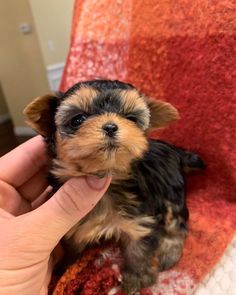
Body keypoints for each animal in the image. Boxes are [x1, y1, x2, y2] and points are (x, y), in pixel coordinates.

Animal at [24, 80, 205, 294]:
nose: (110, 126)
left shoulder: (140, 219)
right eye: (78, 119)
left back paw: (169, 251)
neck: (109, 179)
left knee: (176, 222)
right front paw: (64, 270)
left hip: (171, 191)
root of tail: (175, 150)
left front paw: (137, 277)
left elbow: (139, 249)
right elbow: (72, 250)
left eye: (131, 118)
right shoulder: (75, 227)